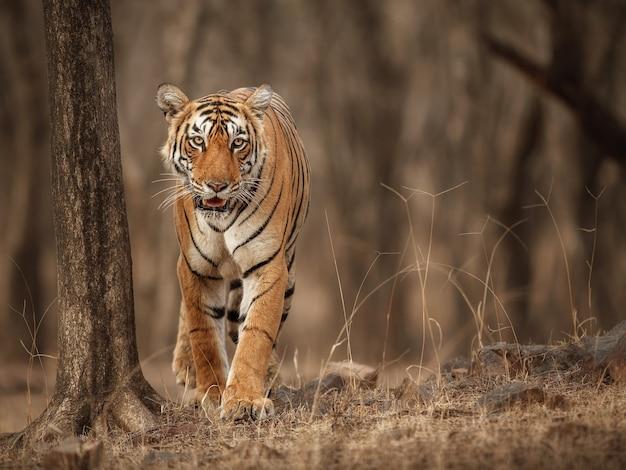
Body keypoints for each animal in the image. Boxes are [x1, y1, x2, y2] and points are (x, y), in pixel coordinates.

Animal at [155, 82, 310, 420]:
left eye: (237, 143)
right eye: (197, 141)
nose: (217, 186)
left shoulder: (267, 265)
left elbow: (256, 333)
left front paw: (244, 400)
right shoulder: (194, 266)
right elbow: (203, 333)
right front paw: (212, 394)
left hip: (290, 276)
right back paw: (186, 367)